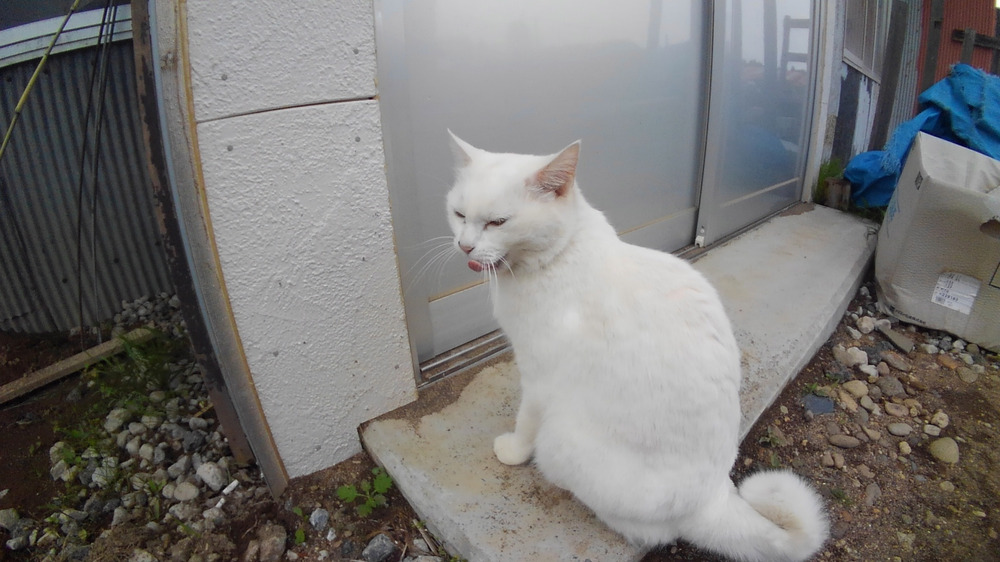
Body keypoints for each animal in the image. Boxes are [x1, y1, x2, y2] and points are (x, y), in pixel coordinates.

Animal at [445, 130, 829, 562]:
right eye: (459, 215)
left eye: (498, 222)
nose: (464, 246)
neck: (561, 254)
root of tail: (715, 499)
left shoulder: (539, 378)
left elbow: (526, 422)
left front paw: (512, 451)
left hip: (561, 440)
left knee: (648, 532)